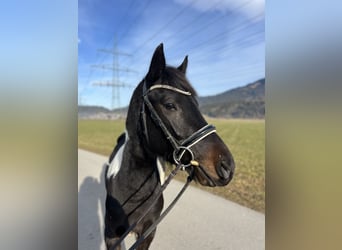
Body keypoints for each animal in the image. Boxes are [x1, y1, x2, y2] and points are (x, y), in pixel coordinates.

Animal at [103, 44, 235, 249]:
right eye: (170, 104)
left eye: (196, 104)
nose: (226, 167)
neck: (133, 190)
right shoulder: (112, 237)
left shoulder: (148, 233)